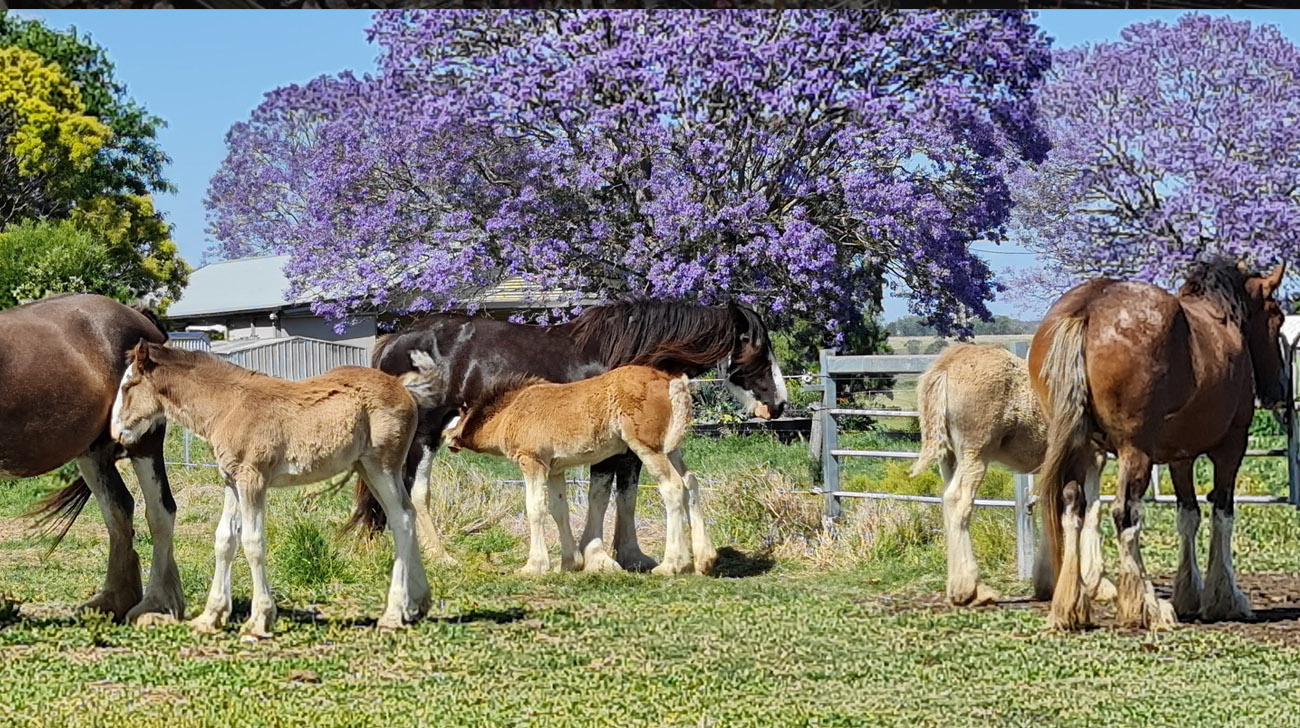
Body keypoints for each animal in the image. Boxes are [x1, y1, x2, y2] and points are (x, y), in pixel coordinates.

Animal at [0, 292, 184, 624]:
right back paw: (111, 601)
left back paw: (155, 606)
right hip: (92, 451)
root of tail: (138, 316)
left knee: (160, 511)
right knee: (118, 510)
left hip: (144, 442)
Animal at [1029, 258, 1284, 629]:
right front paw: (1225, 597)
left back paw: (1071, 607)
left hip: (1080, 447)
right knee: (1125, 514)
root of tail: (1087, 308)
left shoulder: (1180, 457)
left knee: (1073, 505)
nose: (1279, 389)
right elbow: (1222, 512)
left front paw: (1190, 594)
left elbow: (1188, 515)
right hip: (1135, 452)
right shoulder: (1231, 446)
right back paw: (1146, 605)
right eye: (1277, 316)